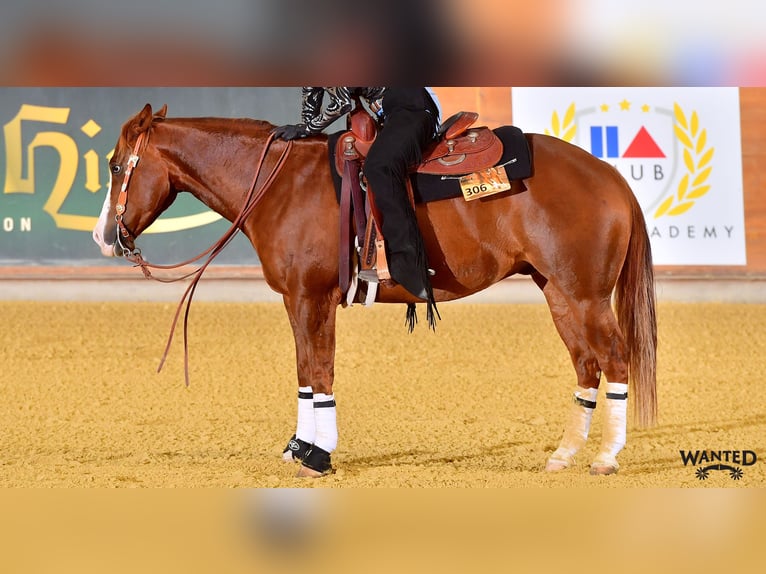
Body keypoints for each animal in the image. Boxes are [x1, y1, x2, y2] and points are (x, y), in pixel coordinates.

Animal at [92, 103, 657, 477]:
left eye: (117, 166)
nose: (103, 238)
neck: (282, 183)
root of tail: (610, 176)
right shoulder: (295, 299)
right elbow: (304, 370)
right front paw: (299, 446)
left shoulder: (312, 297)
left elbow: (320, 369)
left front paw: (318, 455)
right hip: (558, 292)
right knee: (586, 364)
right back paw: (564, 454)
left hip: (584, 295)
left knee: (615, 358)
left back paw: (605, 457)